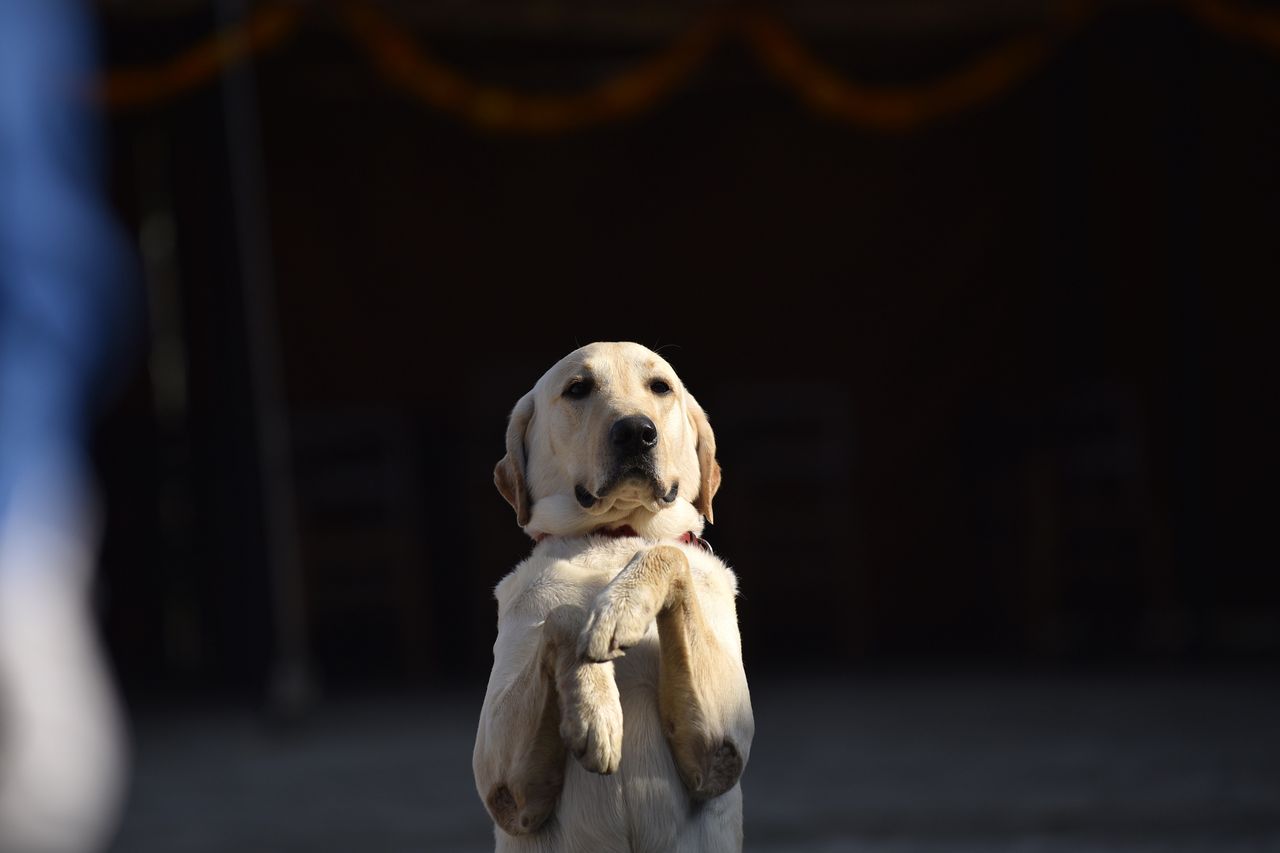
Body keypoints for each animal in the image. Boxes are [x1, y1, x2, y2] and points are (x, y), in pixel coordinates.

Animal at [476, 343, 752, 845]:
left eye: (661, 386)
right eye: (577, 388)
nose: (636, 432)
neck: (613, 536)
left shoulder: (719, 750)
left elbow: (667, 553)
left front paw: (620, 608)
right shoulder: (503, 786)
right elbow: (565, 612)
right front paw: (596, 709)